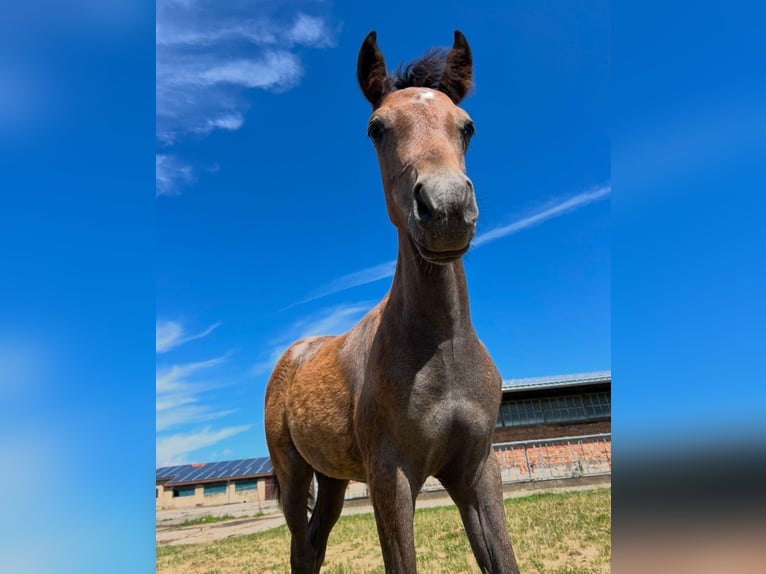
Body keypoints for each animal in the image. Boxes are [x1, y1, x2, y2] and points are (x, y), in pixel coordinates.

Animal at [264, 31, 520, 574]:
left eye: (467, 126)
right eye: (376, 129)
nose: (445, 208)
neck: (443, 349)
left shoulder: (477, 471)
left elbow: (504, 560)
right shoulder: (391, 479)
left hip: (333, 479)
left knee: (314, 543)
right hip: (294, 475)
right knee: (300, 545)